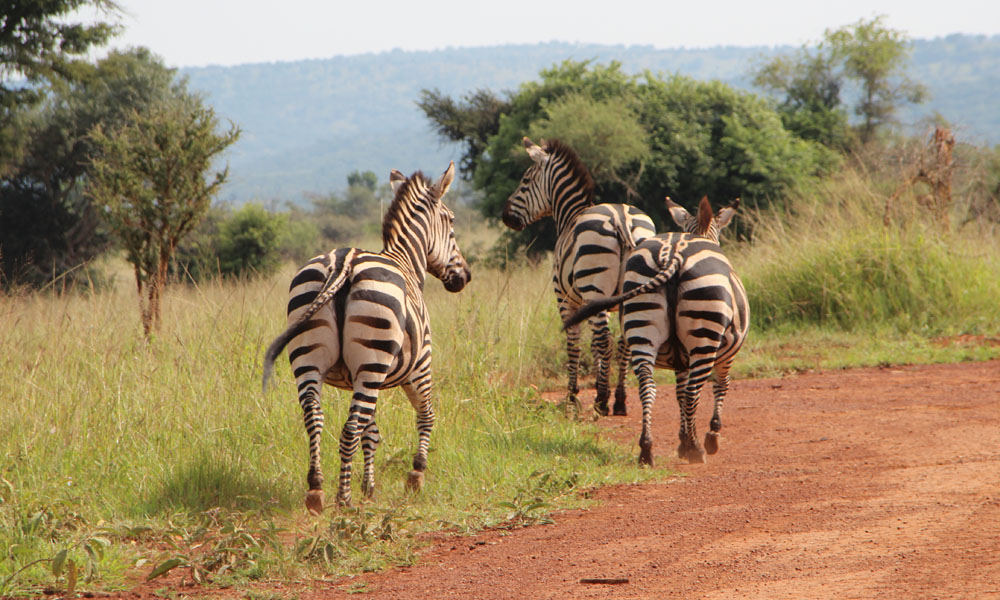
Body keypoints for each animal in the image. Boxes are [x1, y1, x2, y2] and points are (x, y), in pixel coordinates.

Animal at [264, 162, 470, 512]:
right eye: (451, 222)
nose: (464, 277)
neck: (406, 261)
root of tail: (343, 261)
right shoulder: (420, 366)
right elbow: (425, 415)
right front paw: (416, 475)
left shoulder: (358, 378)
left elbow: (370, 431)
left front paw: (369, 487)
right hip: (373, 361)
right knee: (348, 429)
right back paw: (343, 499)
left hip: (311, 357)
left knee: (315, 418)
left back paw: (316, 490)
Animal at [500, 136, 656, 418]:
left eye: (525, 181)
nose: (505, 217)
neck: (570, 213)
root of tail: (621, 218)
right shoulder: (591, 303)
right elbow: (593, 344)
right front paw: (597, 383)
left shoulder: (565, 298)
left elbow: (573, 341)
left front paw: (573, 395)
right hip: (631, 289)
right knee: (623, 342)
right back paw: (619, 400)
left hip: (596, 287)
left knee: (606, 340)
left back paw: (602, 401)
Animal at [568, 197, 748, 464]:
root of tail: (673, 254)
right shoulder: (727, 354)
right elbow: (719, 385)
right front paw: (710, 436)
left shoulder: (681, 359)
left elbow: (679, 393)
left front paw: (683, 439)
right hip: (704, 337)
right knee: (694, 390)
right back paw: (696, 448)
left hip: (642, 325)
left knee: (647, 386)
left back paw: (646, 449)